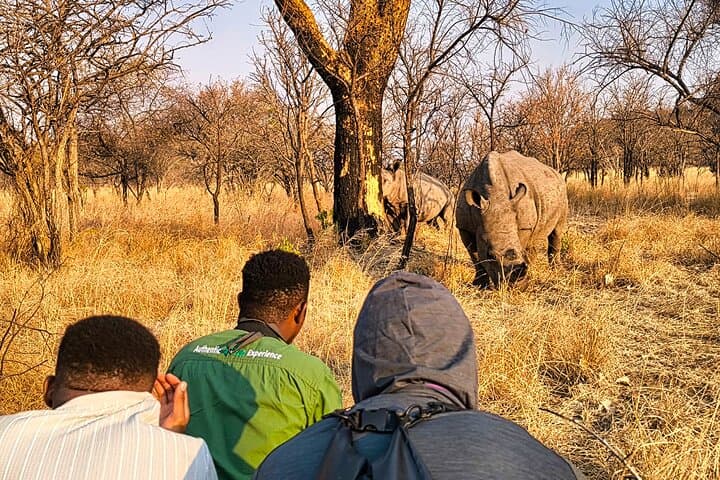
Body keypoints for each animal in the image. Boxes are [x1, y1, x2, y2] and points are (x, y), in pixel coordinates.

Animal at [455, 150, 568, 288]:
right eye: (490, 255)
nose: (515, 286)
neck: (495, 197)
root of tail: (556, 173)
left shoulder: (524, 226)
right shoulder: (464, 227)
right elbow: (475, 257)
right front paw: (479, 285)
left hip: (562, 193)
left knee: (556, 231)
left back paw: (555, 270)